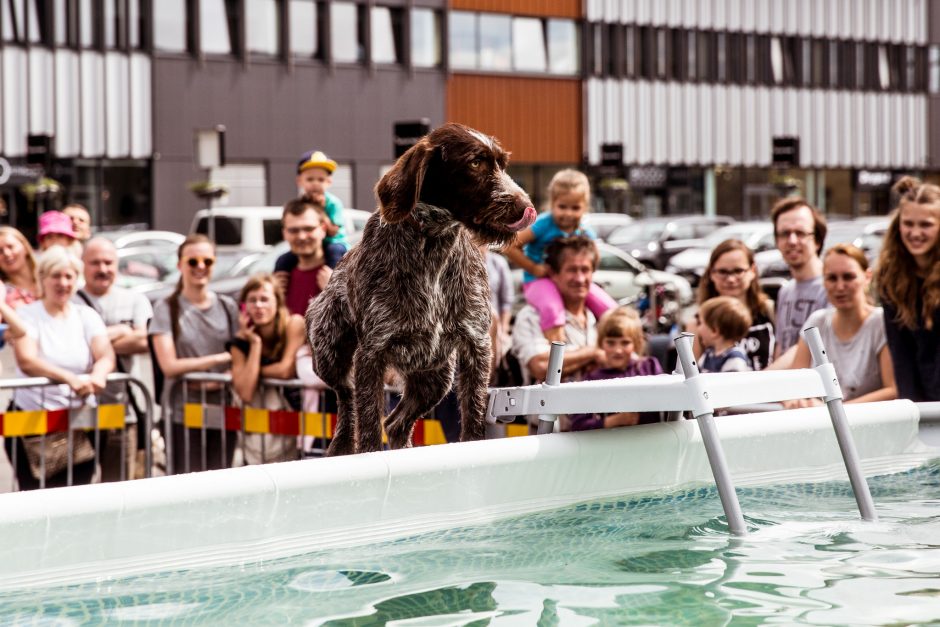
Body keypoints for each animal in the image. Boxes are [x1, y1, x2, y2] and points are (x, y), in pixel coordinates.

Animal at [304, 122, 532, 456]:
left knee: (396, 423)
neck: (433, 244)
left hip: (435, 377)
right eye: (475, 163)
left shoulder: (476, 346)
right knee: (346, 397)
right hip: (329, 354)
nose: (527, 207)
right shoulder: (372, 354)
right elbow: (368, 427)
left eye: (502, 164)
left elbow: (474, 417)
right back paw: (342, 444)